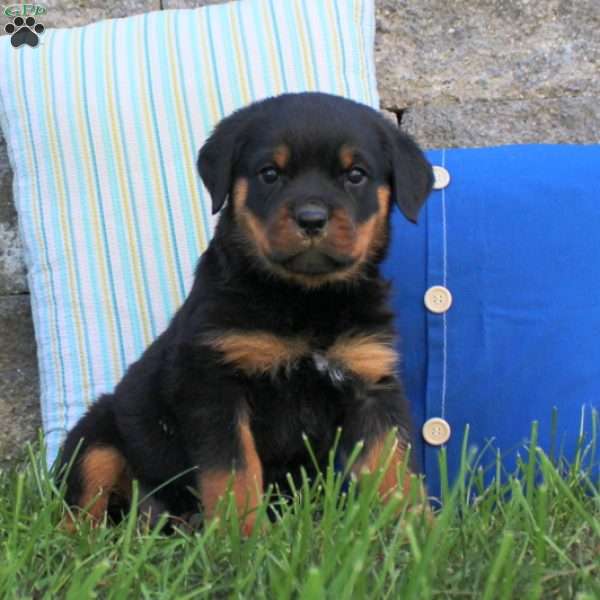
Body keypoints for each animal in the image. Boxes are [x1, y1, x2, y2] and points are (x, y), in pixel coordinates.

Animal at [58, 92, 434, 536]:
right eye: (269, 173)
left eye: (356, 175)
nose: (311, 218)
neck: (305, 300)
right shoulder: (216, 383)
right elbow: (234, 471)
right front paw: (244, 535)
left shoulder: (371, 381)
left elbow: (393, 467)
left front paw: (417, 530)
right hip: (96, 436)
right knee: (81, 500)